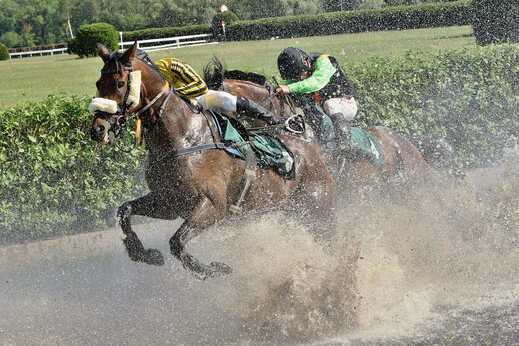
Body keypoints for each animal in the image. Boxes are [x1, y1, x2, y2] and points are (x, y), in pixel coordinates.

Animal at [90, 43, 336, 280]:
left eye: (120, 83)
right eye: (98, 83)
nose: (98, 129)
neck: (182, 140)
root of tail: (310, 147)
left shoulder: (214, 205)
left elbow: (177, 242)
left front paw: (214, 269)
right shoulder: (168, 202)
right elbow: (125, 211)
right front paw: (144, 253)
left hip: (317, 209)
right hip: (290, 210)